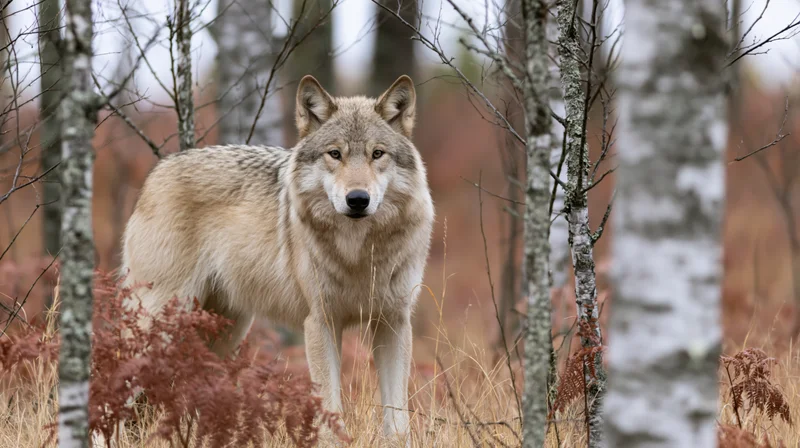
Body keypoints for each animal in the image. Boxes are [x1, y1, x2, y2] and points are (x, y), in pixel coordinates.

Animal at [120, 75, 434, 439]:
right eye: (335, 154)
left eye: (377, 154)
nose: (357, 199)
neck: (358, 252)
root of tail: (157, 171)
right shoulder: (320, 323)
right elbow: (330, 414)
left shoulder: (394, 323)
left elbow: (398, 421)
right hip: (162, 324)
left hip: (223, 333)